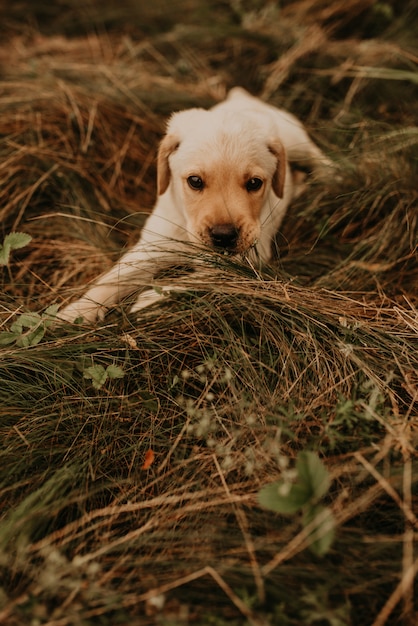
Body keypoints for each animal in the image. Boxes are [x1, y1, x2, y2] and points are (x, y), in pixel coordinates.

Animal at [58, 86, 334, 322]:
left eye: (255, 183)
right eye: (195, 181)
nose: (224, 235)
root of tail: (243, 98)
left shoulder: (248, 258)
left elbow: (201, 277)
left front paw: (151, 299)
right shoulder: (153, 245)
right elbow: (113, 278)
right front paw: (73, 312)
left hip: (294, 141)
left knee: (317, 156)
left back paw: (329, 177)